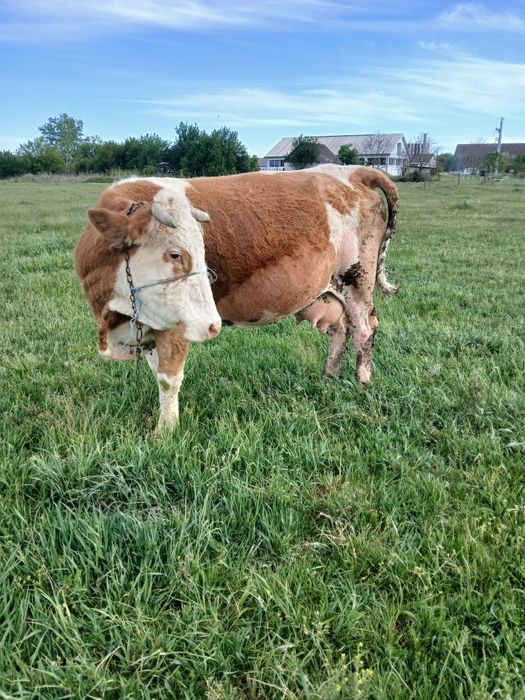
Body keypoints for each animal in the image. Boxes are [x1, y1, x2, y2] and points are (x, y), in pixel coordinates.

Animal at [75, 164, 398, 432]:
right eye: (175, 254)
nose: (213, 324)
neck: (111, 315)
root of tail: (352, 171)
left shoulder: (178, 323)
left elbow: (168, 378)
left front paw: (164, 433)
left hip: (357, 281)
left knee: (364, 329)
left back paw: (362, 382)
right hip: (331, 290)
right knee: (339, 330)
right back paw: (328, 377)